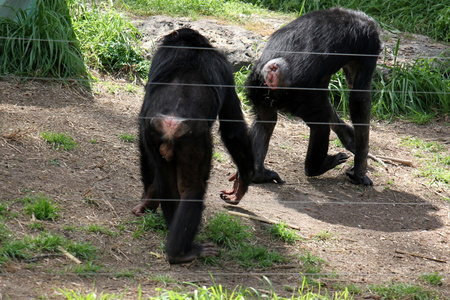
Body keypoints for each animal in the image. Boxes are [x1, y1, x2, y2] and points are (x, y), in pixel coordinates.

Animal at [132, 27, 255, 262]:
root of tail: (171, 124)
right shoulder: (226, 68)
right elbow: (233, 129)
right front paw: (242, 182)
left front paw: (147, 199)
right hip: (194, 140)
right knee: (193, 189)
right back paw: (181, 252)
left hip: (155, 134)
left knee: (167, 181)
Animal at [246, 6, 384, 185]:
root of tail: (271, 72)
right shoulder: (369, 46)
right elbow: (359, 97)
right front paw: (360, 168)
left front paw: (349, 137)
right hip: (298, 97)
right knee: (320, 124)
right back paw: (317, 168)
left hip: (257, 89)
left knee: (266, 121)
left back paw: (259, 174)